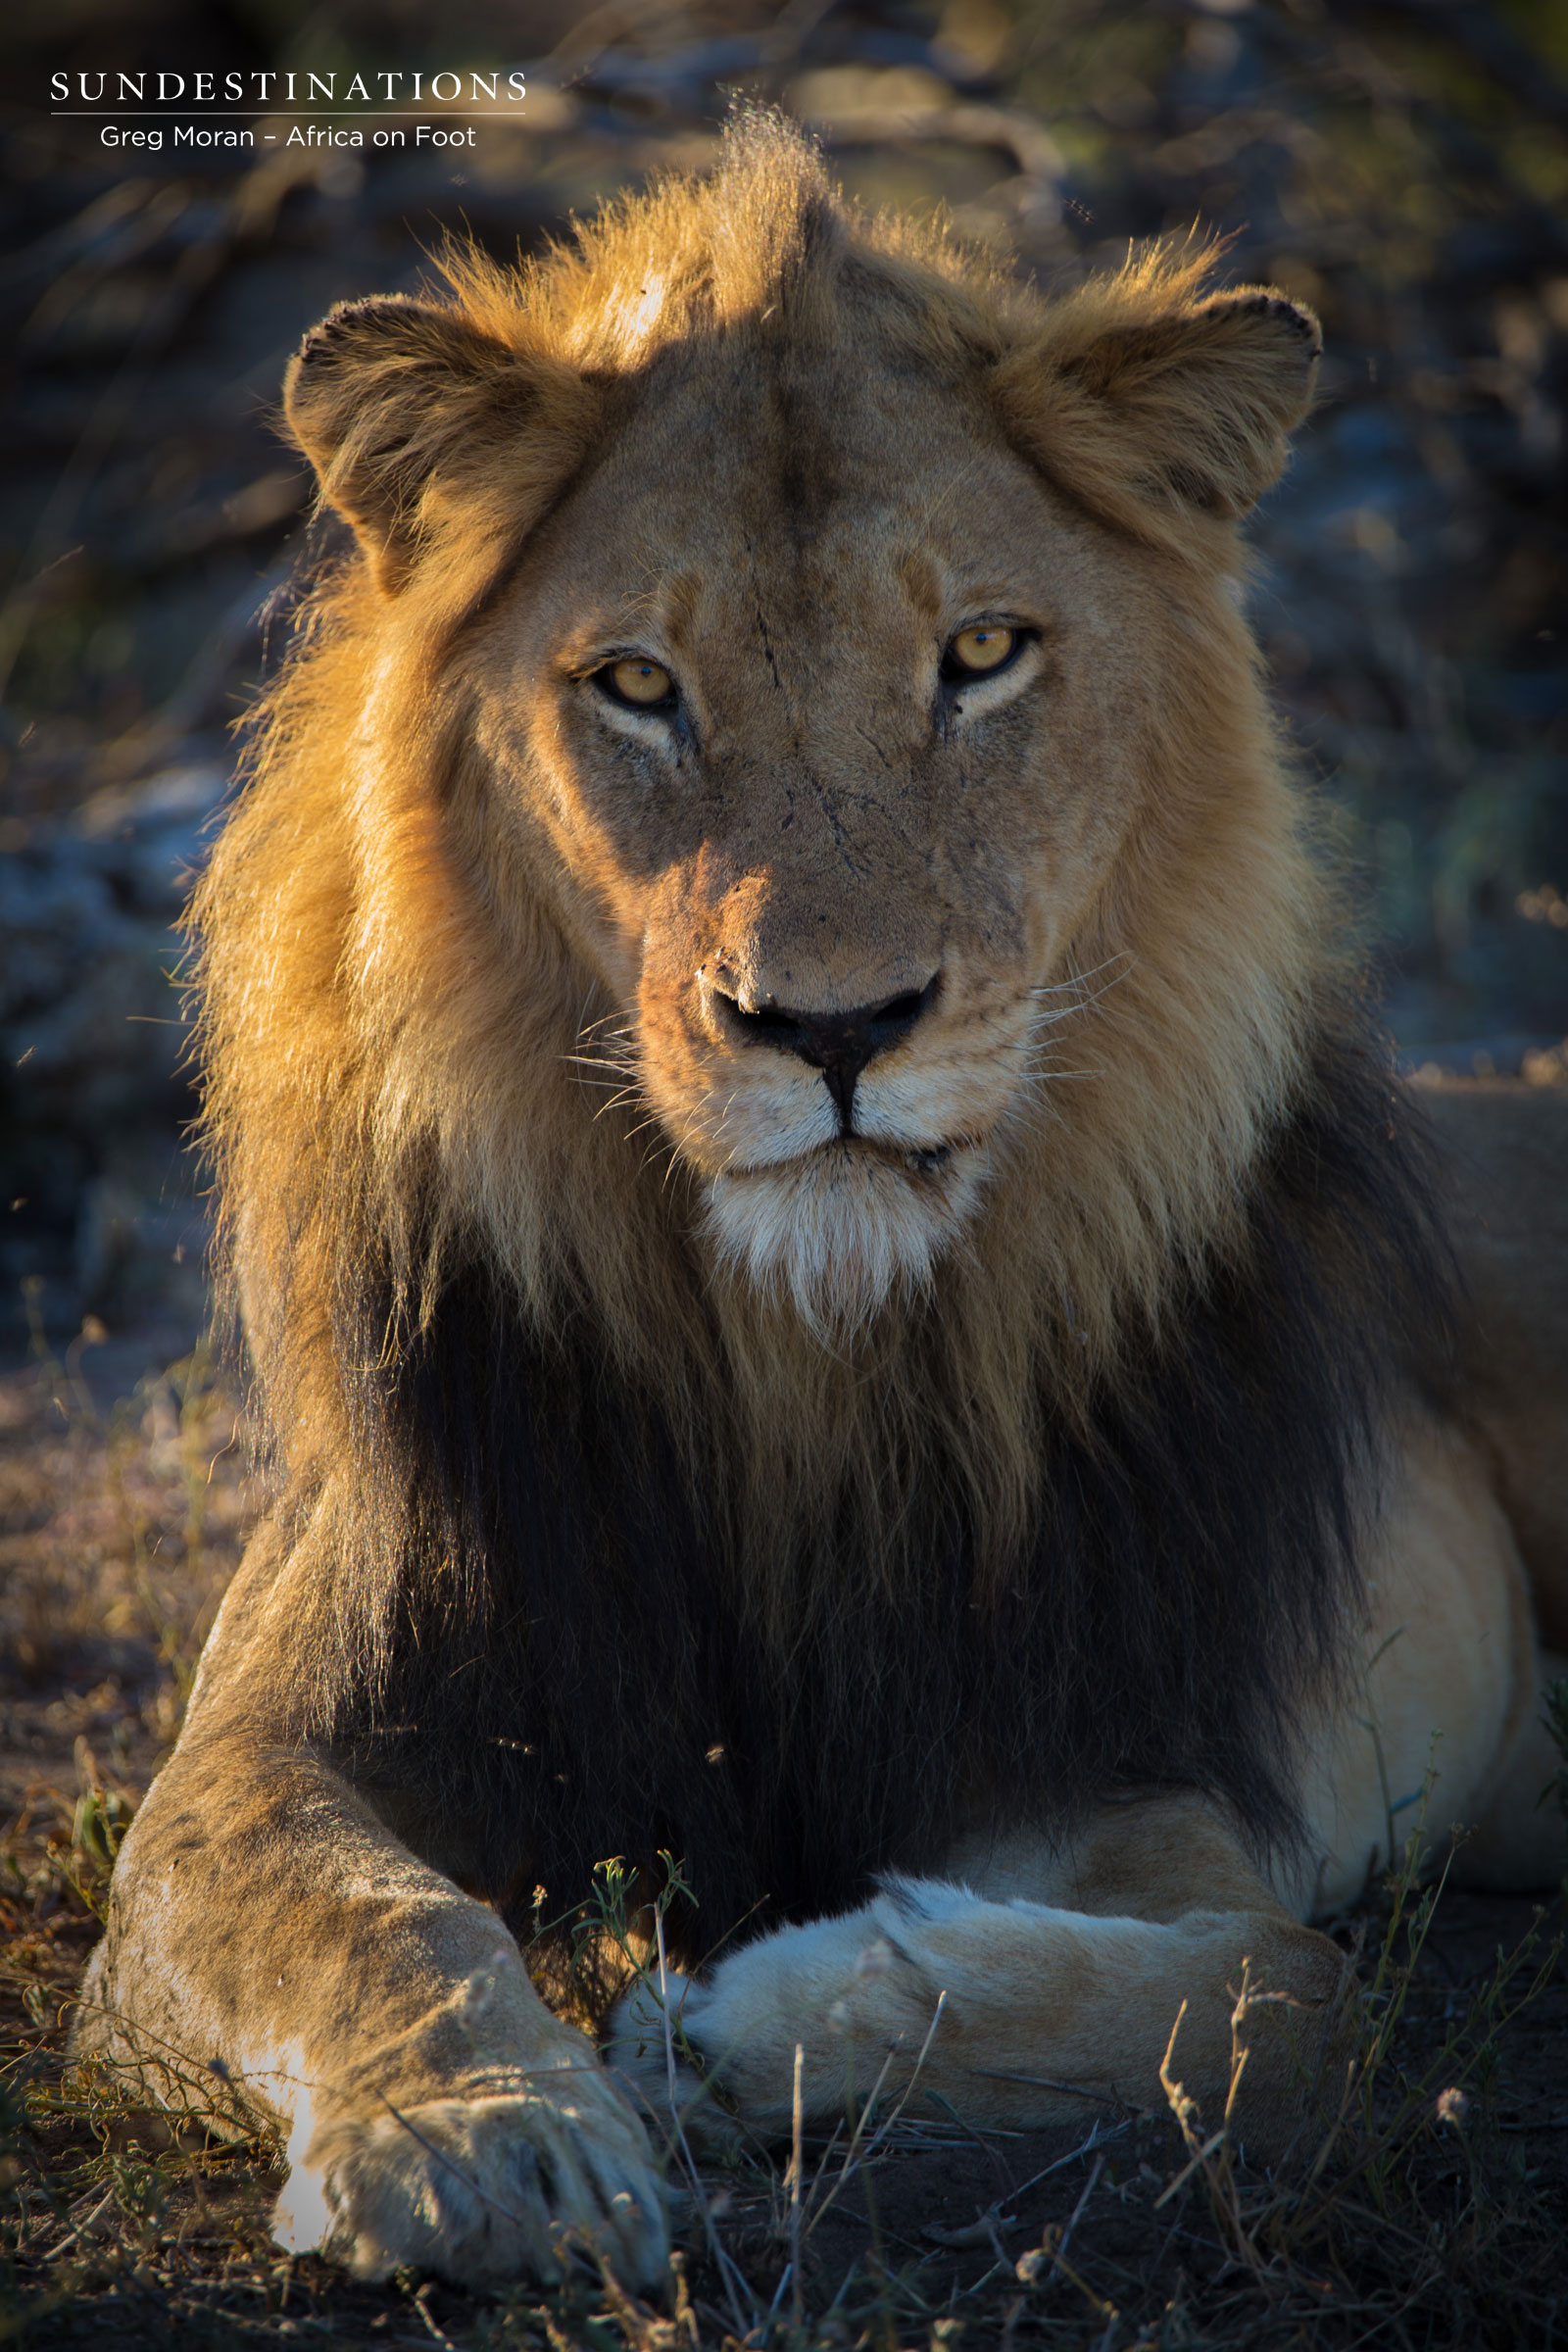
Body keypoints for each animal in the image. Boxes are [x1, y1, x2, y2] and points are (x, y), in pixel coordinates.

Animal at [77, 115, 1567, 2291]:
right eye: (634, 684)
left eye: (982, 655)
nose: (835, 1025)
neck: (800, 1357)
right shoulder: (286, 1731)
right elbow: (350, 1914)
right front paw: (483, 2139)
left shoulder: (1122, 1765)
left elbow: (1273, 2001)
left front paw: (753, 2018)